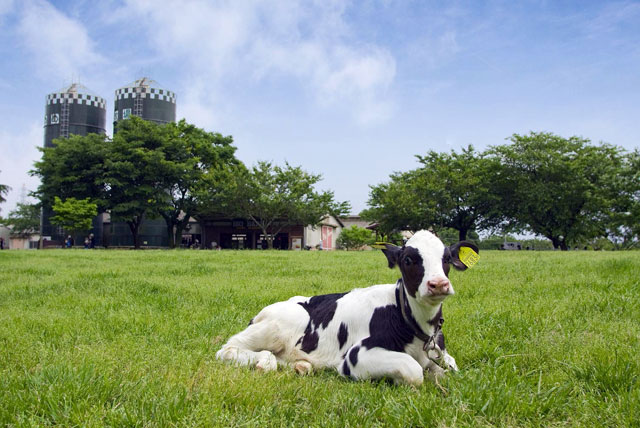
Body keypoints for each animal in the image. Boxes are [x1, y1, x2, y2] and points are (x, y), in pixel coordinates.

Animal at [218, 231, 478, 388]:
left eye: (446, 259)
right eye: (408, 260)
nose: (438, 284)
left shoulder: (441, 353)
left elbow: (450, 368)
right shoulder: (357, 356)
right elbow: (414, 371)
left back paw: (302, 366)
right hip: (285, 321)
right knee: (227, 349)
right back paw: (263, 361)